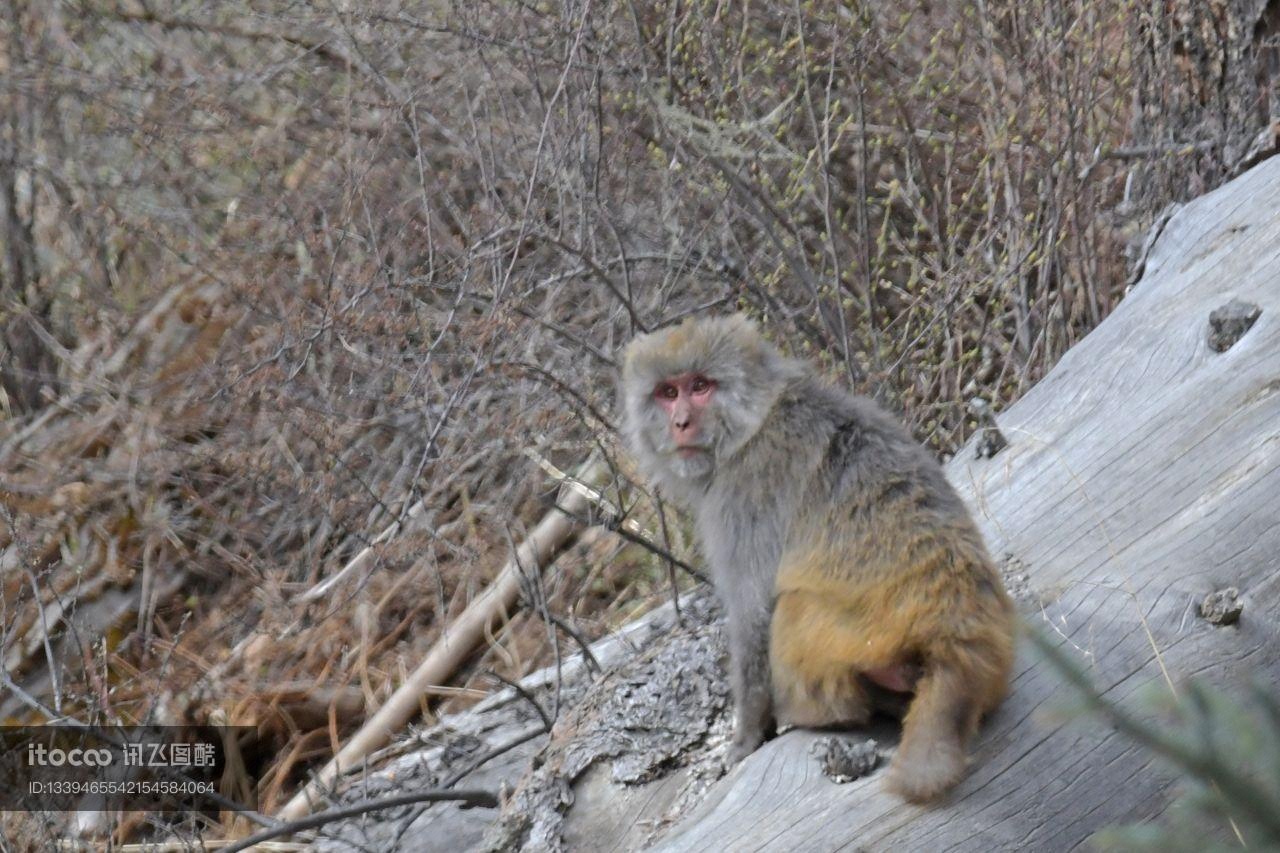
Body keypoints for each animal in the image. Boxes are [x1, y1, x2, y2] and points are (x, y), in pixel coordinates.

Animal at [624, 312, 1013, 799]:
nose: (679, 422)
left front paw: (746, 737)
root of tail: (958, 634)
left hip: (856, 637)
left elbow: (753, 614)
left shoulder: (744, 494)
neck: (753, 422)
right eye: (667, 392)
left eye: (699, 386)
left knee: (792, 608)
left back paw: (821, 714)